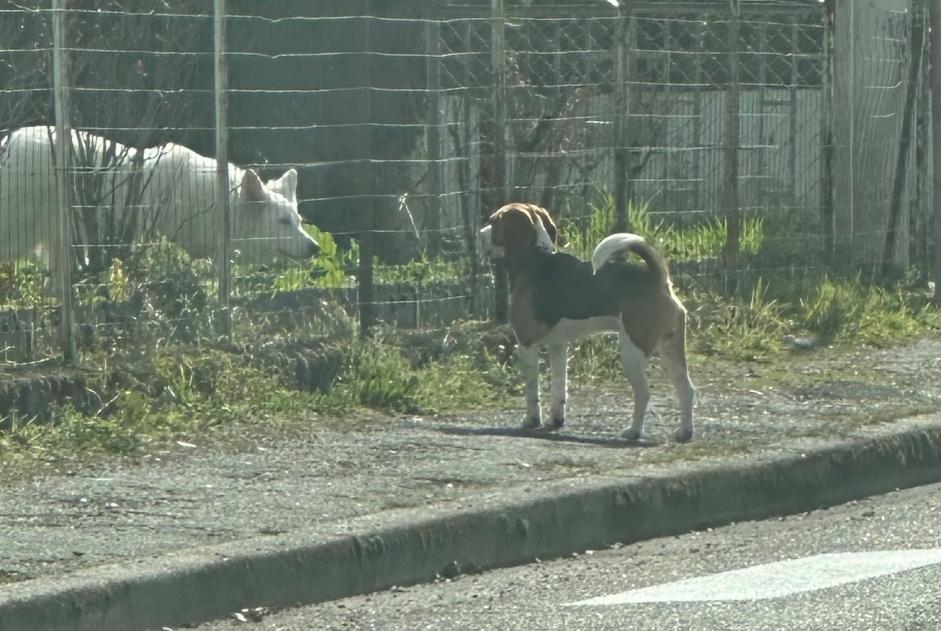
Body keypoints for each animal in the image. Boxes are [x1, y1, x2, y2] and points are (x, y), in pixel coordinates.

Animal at [482, 205, 692, 442]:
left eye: (493, 221)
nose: (480, 232)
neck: (534, 256)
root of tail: (658, 278)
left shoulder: (526, 343)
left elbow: (531, 390)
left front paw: (531, 420)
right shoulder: (558, 346)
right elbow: (559, 386)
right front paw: (556, 419)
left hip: (632, 352)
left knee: (644, 393)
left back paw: (633, 431)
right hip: (670, 348)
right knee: (686, 389)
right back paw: (684, 432)